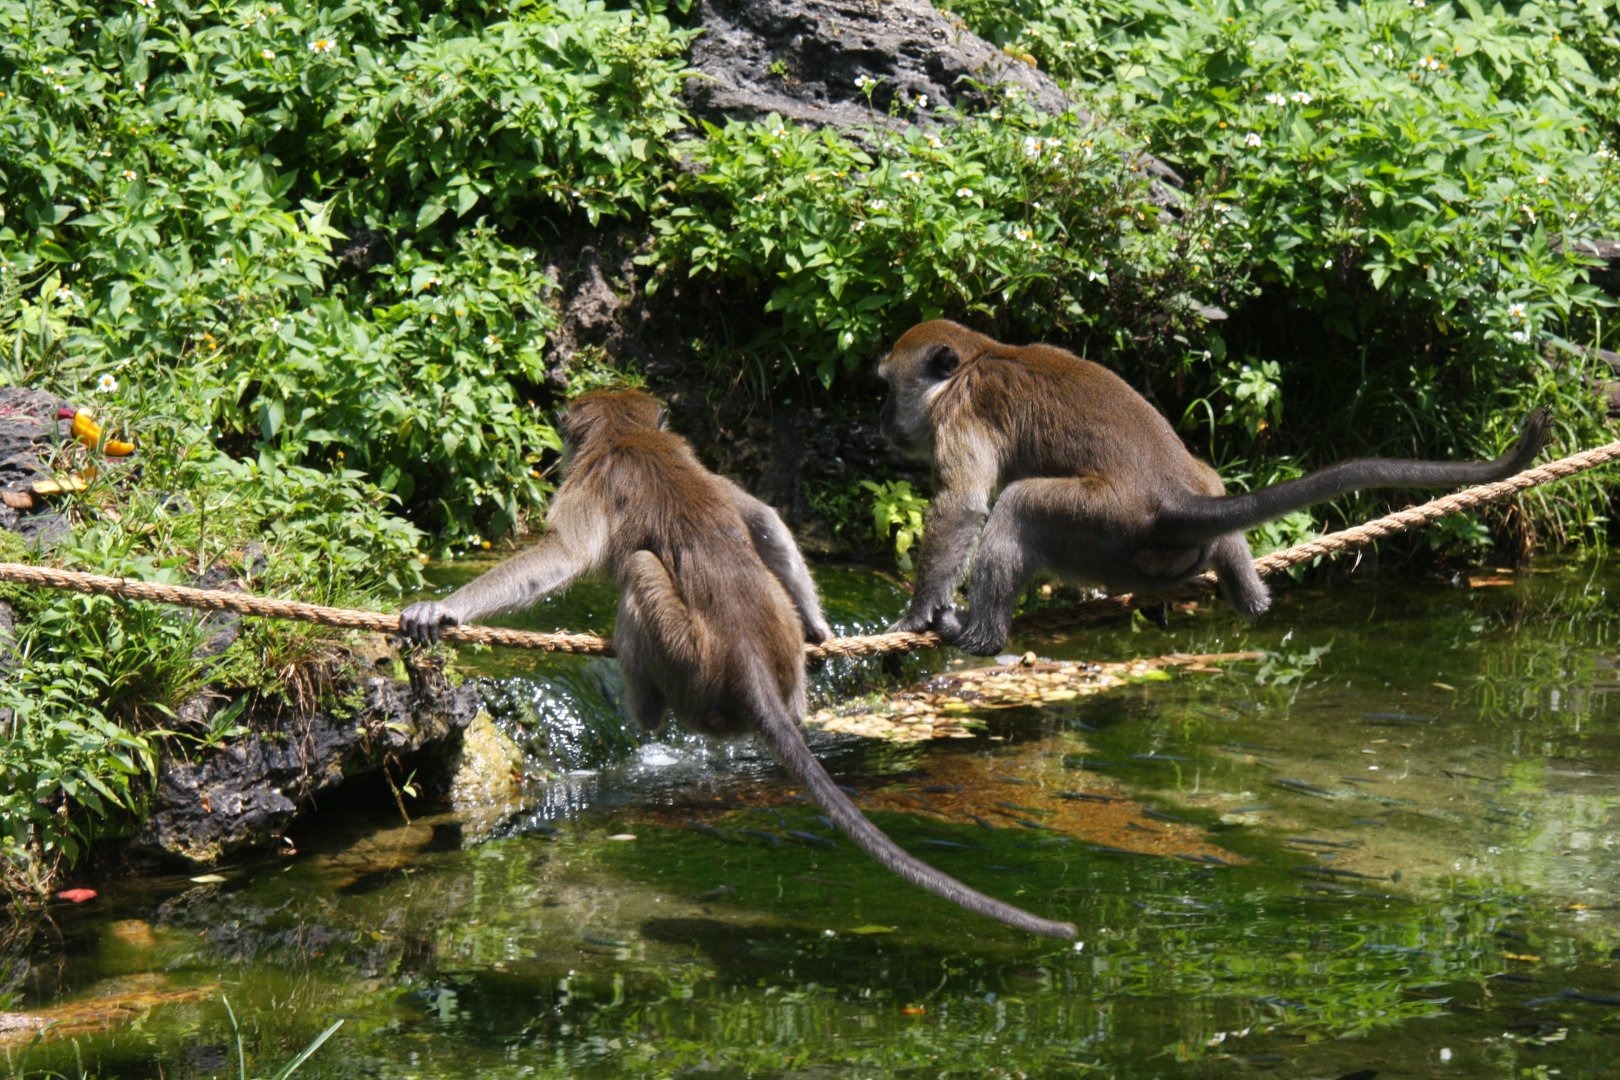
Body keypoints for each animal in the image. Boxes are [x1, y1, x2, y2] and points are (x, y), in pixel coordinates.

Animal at [400, 389, 1078, 940]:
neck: (629, 436)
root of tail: (751, 664)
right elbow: (763, 518)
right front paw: (822, 627)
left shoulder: (591, 481)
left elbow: (560, 557)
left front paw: (442, 608)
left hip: (689, 663)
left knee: (641, 569)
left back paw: (644, 711)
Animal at [877, 320, 1550, 656]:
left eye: (886, 386)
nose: (884, 423)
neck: (979, 357)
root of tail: (1174, 501)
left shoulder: (961, 410)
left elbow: (963, 507)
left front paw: (917, 611)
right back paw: (1241, 582)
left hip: (1103, 526)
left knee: (1018, 509)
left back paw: (979, 638)